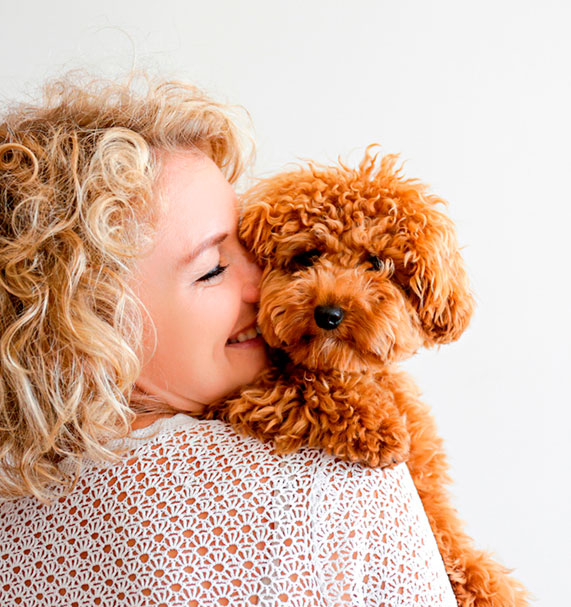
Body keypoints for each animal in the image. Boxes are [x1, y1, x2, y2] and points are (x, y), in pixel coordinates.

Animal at [203, 148, 528, 607]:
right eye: (308, 257)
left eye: (375, 263)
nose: (328, 313)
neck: (351, 370)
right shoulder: (235, 399)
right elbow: (306, 387)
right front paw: (378, 427)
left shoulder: (429, 490)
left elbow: (458, 551)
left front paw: (484, 586)